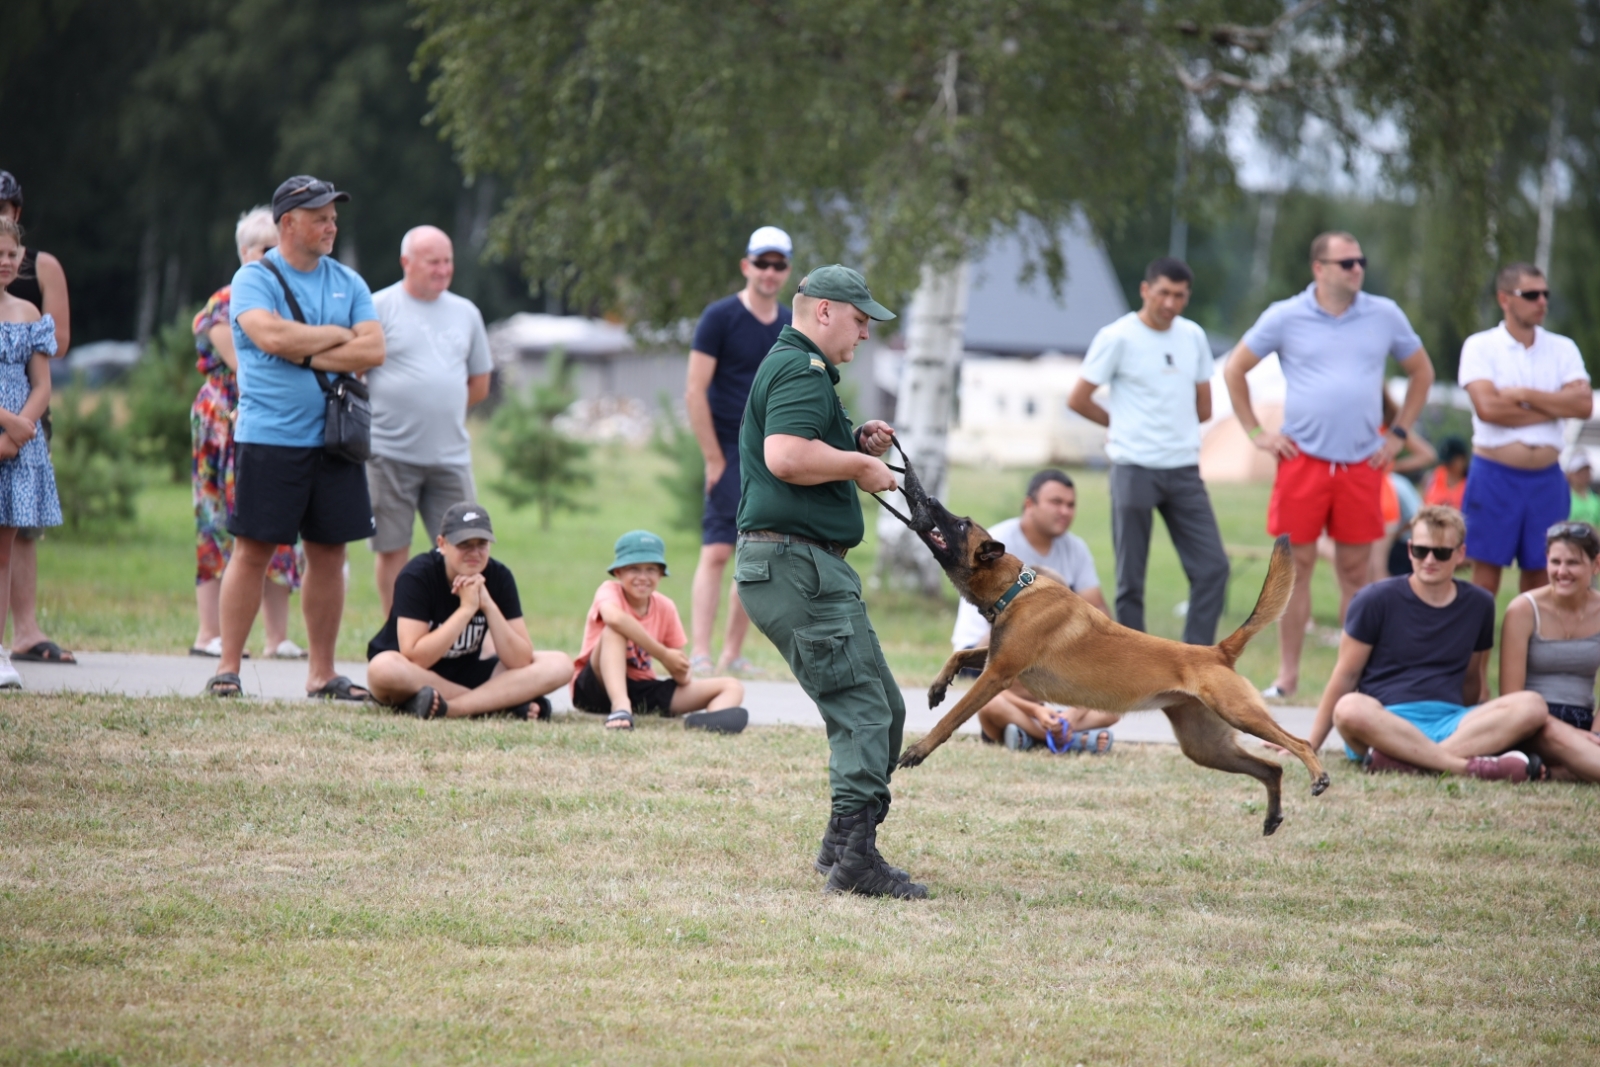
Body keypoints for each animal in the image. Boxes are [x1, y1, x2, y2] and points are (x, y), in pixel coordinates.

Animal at [876, 447, 1324, 838]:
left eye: (962, 524)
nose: (929, 496)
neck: (1015, 590)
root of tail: (1216, 651)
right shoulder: (998, 656)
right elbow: (961, 652)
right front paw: (937, 687)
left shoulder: (998, 674)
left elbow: (951, 719)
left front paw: (919, 749)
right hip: (1205, 746)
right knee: (1271, 769)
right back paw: (1273, 816)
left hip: (1238, 712)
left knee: (1298, 743)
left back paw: (1318, 774)